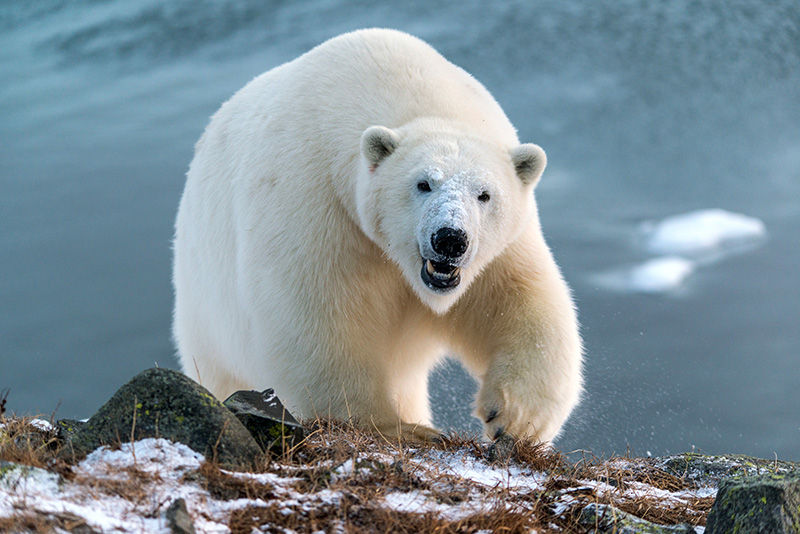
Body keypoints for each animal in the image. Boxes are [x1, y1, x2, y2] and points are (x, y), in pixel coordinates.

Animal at [173, 28, 582, 443]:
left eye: (484, 194)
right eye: (423, 183)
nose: (450, 239)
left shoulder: (499, 248)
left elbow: (520, 300)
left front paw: (513, 417)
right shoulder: (317, 204)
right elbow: (317, 315)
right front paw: (396, 428)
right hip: (206, 314)